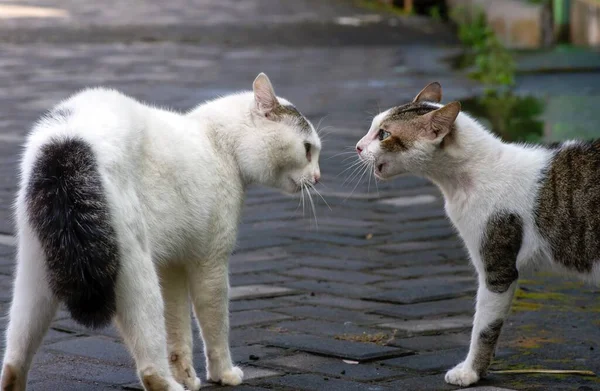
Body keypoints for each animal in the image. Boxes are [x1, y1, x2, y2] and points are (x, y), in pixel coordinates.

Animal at [2, 73, 322, 391]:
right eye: (307, 149)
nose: (319, 177)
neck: (219, 143)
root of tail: (66, 143)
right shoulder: (210, 262)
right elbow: (215, 326)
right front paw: (223, 373)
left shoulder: (172, 266)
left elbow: (178, 328)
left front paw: (186, 375)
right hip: (137, 274)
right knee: (150, 368)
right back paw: (169, 384)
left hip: (35, 278)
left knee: (14, 359)